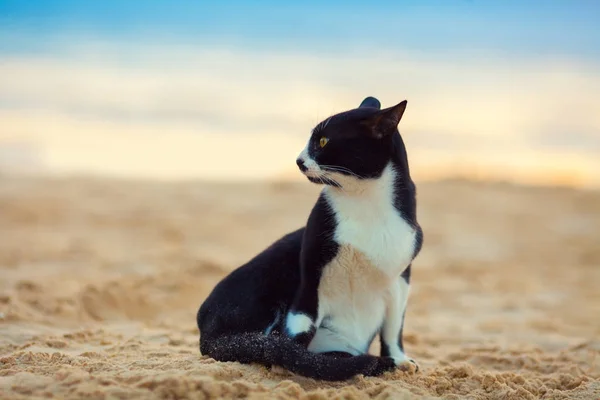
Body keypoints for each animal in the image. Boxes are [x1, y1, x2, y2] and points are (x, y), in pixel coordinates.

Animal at [197, 97, 422, 382]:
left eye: (323, 141)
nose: (298, 160)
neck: (365, 202)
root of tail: (205, 333)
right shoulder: (311, 270)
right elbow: (299, 326)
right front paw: (293, 361)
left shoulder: (402, 277)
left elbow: (394, 328)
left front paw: (400, 360)